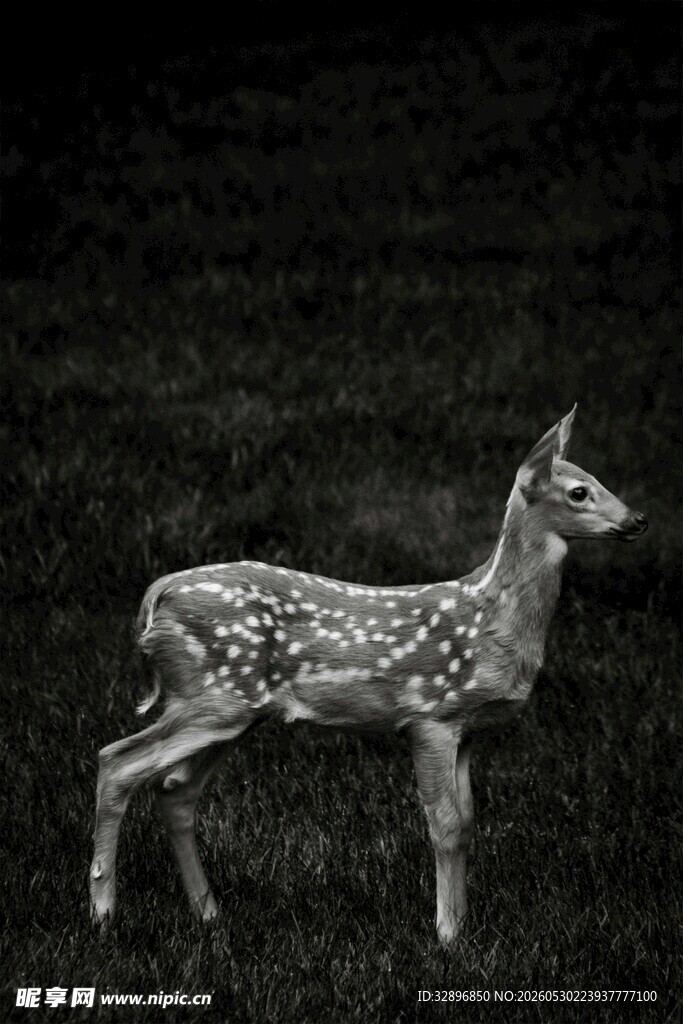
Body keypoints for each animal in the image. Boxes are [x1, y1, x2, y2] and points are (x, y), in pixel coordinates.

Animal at [89, 406, 648, 944]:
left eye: (597, 477)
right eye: (579, 491)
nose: (638, 518)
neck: (492, 619)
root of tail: (158, 596)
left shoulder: (467, 729)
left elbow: (468, 823)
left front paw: (463, 927)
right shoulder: (431, 716)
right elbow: (445, 826)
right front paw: (448, 937)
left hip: (232, 709)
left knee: (174, 790)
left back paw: (209, 914)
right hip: (213, 694)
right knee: (116, 761)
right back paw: (103, 914)